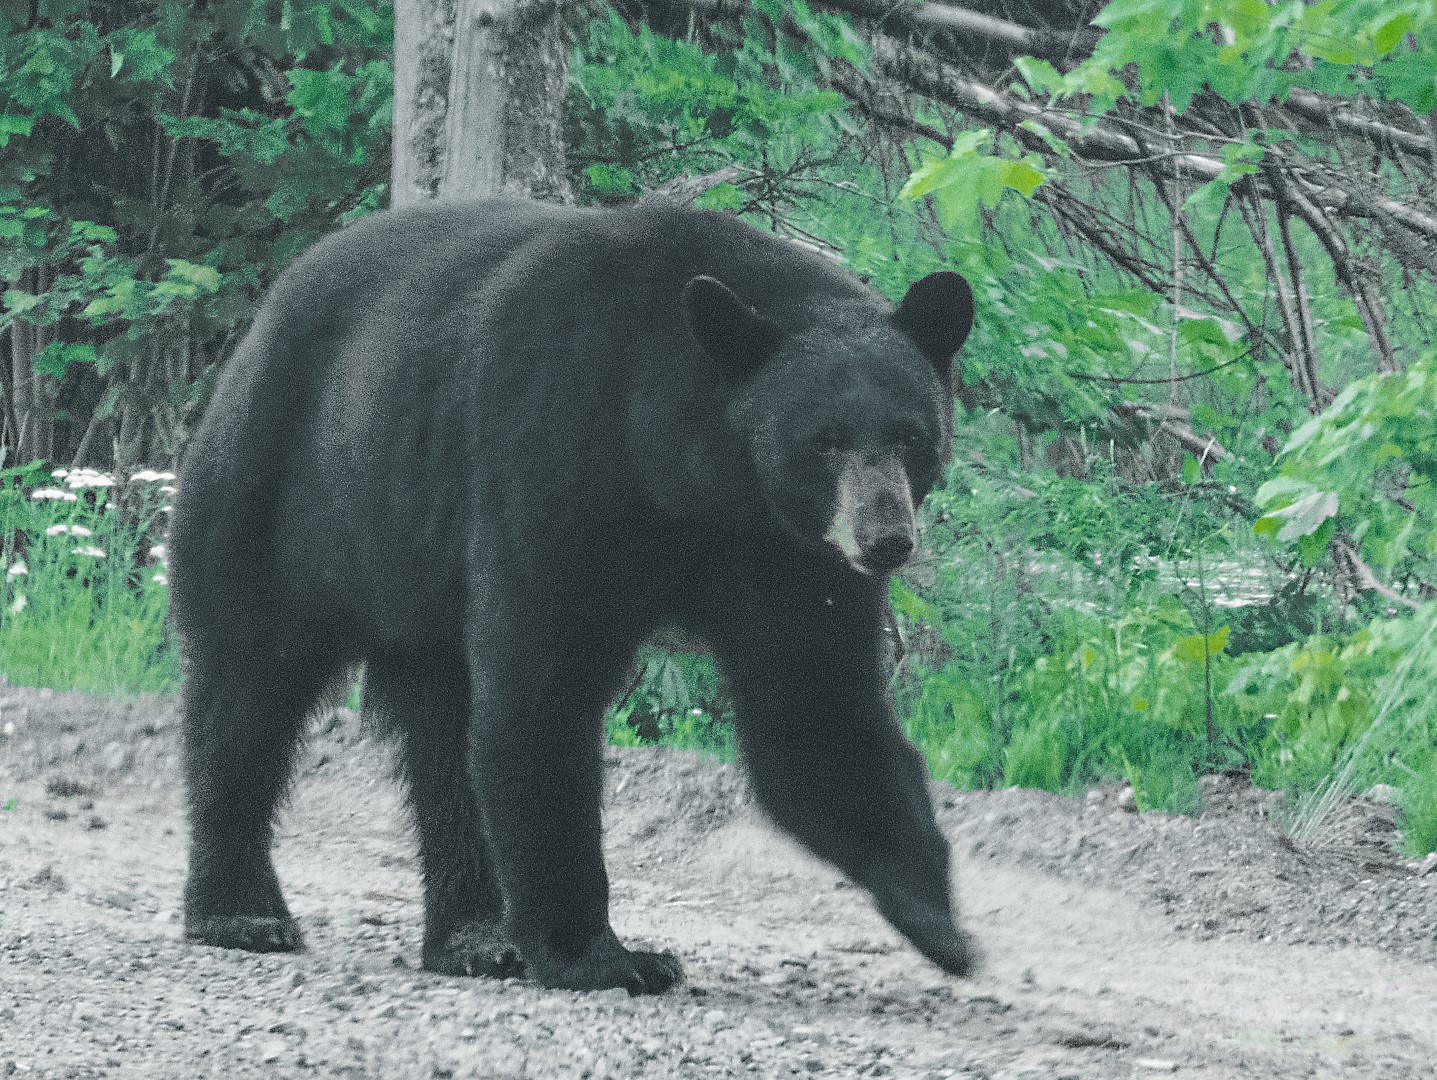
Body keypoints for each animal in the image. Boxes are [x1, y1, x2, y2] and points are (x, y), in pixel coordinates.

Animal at [168, 196, 977, 995]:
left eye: (911, 436)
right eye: (824, 440)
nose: (885, 539)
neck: (693, 473)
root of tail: (266, 313)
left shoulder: (787, 557)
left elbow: (816, 707)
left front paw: (936, 920)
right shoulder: (557, 452)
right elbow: (543, 685)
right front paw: (603, 955)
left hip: (417, 580)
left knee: (442, 731)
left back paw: (475, 937)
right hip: (284, 493)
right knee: (248, 690)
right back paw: (242, 912)